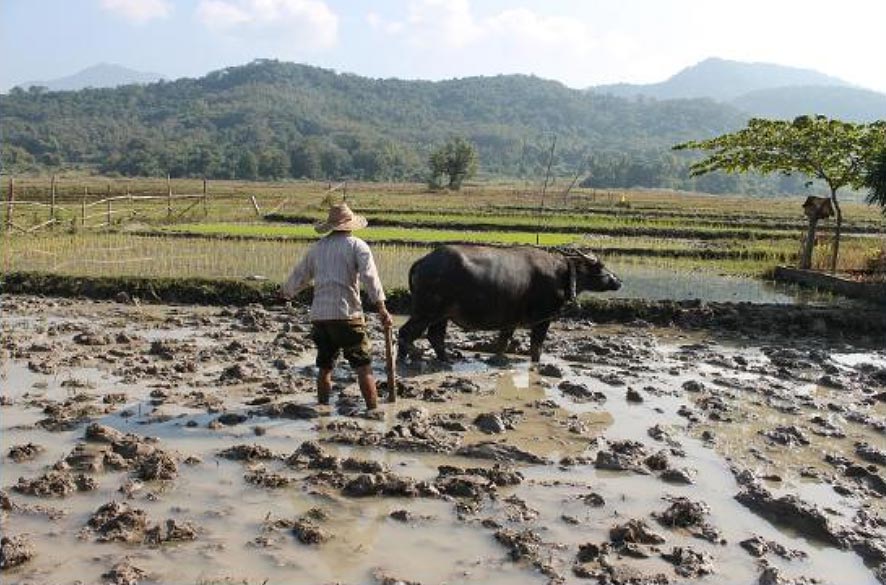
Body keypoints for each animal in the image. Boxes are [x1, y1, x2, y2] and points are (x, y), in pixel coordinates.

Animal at [398, 245, 621, 362]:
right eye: (600, 266)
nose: (618, 281)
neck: (562, 275)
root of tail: (423, 261)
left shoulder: (509, 320)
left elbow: (502, 342)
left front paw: (497, 359)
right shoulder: (543, 319)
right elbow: (536, 346)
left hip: (441, 315)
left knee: (435, 336)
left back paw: (445, 359)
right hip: (426, 311)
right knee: (406, 332)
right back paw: (407, 357)